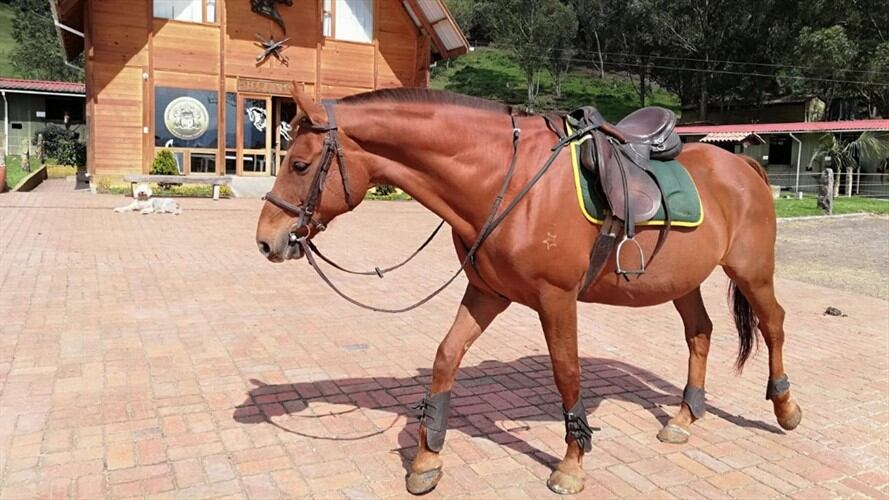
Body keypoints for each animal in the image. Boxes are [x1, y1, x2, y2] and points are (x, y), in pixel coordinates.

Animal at [255, 86, 802, 495]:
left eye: (300, 165)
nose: (267, 240)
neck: (506, 178)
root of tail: (744, 167)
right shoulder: (486, 293)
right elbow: (446, 357)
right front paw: (427, 458)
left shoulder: (555, 299)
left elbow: (567, 374)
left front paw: (572, 464)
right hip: (682, 279)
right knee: (700, 332)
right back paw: (684, 417)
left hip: (752, 271)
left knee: (773, 323)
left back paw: (785, 408)